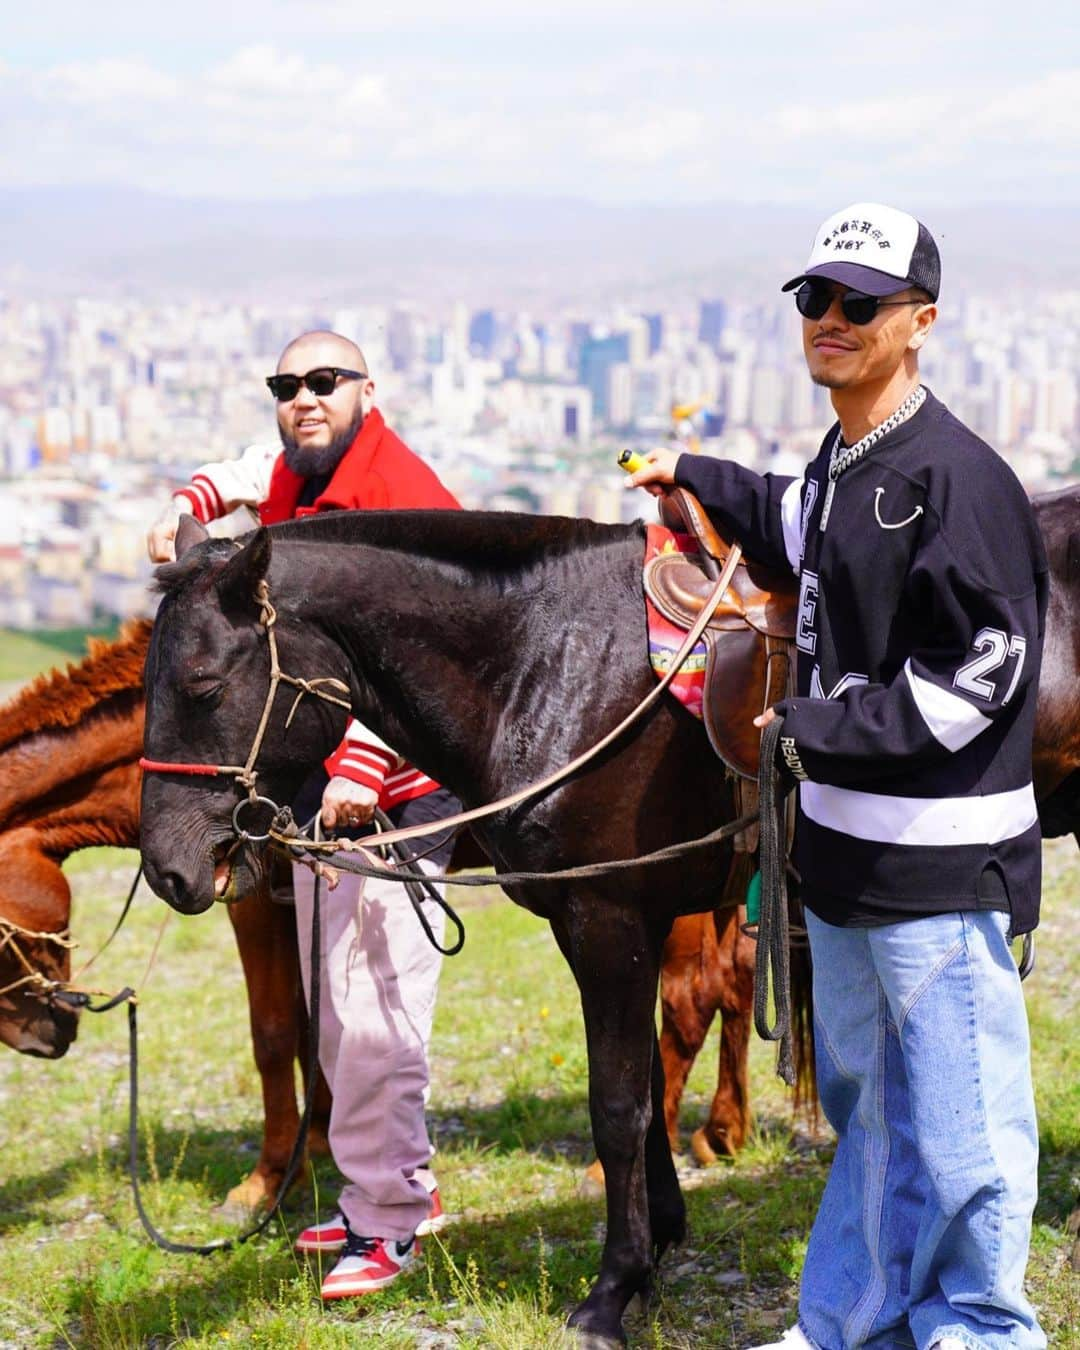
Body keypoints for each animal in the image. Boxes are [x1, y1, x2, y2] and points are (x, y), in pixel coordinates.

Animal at [0, 621, 329, 1215]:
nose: (40, 1040)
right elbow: (310, 1023)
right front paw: (312, 1146)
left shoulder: (252, 899)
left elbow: (273, 1032)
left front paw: (268, 1179)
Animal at [139, 507, 804, 1350]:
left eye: (204, 685)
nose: (166, 869)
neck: (555, 663)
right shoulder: (617, 928)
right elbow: (647, 1089)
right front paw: (654, 1252)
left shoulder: (607, 921)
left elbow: (617, 1108)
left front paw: (612, 1290)